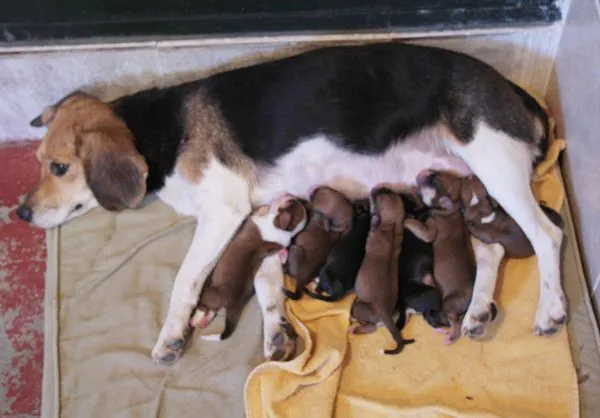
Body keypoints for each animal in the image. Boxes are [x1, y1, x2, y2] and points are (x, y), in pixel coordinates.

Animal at [191, 196, 308, 340]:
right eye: (293, 201)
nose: (290, 196)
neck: (283, 230)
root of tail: (234, 306)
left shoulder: (254, 220)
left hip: (209, 294)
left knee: (204, 307)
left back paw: (195, 320)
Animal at [350, 188, 414, 354]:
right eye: (389, 191)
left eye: (377, 197)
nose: (377, 188)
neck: (392, 225)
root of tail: (386, 315)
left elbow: (373, 224)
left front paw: (374, 219)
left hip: (360, 307)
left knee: (370, 327)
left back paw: (355, 329)